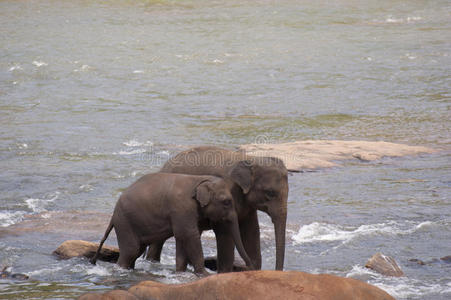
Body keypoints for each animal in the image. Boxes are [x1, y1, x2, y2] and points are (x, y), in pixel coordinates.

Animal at [91, 172, 254, 276]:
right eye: (226, 202)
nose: (251, 267)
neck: (199, 180)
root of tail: (113, 215)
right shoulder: (181, 208)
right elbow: (189, 235)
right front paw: (204, 274)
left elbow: (182, 238)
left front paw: (180, 272)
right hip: (124, 223)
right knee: (131, 251)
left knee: (136, 251)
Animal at [148, 146, 290, 274]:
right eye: (270, 193)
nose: (277, 271)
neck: (250, 159)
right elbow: (225, 231)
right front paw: (225, 273)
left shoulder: (247, 206)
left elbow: (252, 230)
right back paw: (152, 262)